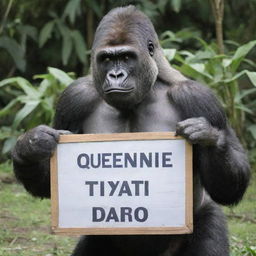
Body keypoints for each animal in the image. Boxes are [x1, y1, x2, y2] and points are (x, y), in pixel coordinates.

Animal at [12, 5, 250, 256]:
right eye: (107, 59)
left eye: (126, 57)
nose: (116, 75)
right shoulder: (74, 98)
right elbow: (47, 181)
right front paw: (31, 145)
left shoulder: (199, 98)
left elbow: (228, 187)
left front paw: (208, 136)